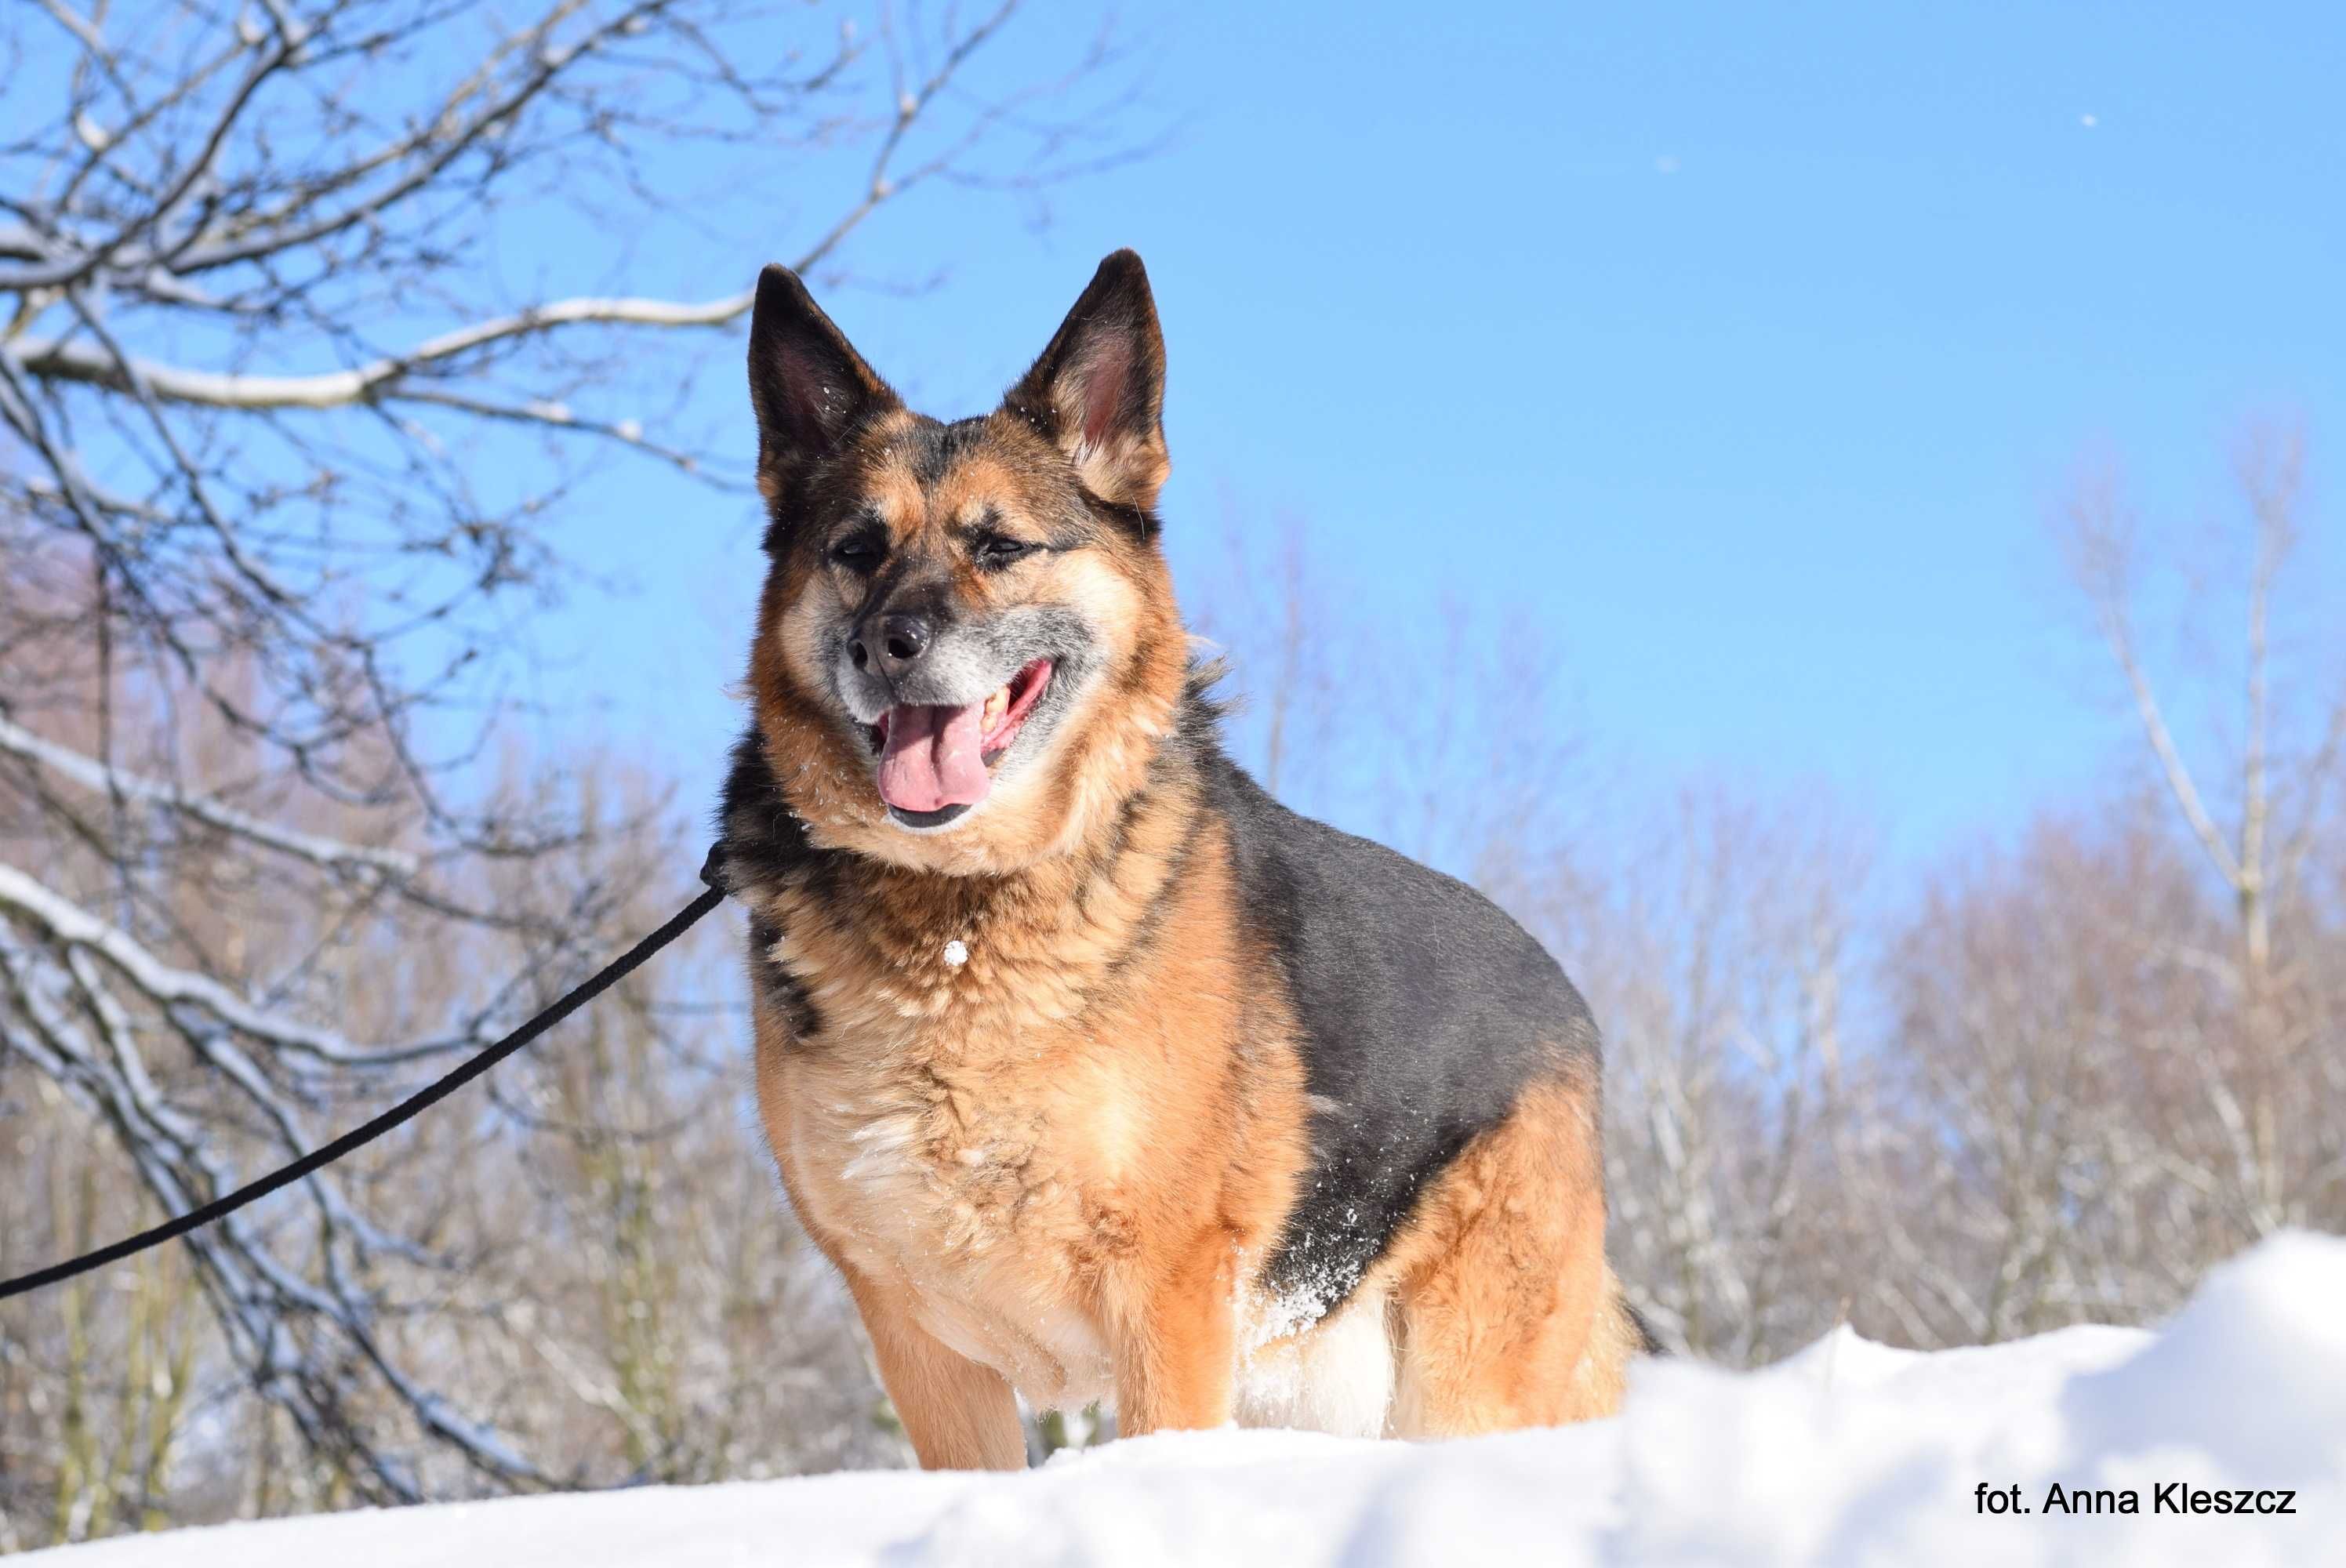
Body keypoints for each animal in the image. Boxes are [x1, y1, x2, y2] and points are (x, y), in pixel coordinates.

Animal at [713, 247, 1651, 1474]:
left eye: (999, 547)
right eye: (856, 553)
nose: (887, 644)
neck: (963, 915)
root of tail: (1567, 1001)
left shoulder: (1163, 1301)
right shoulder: (921, 1345)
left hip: (1460, 1384)